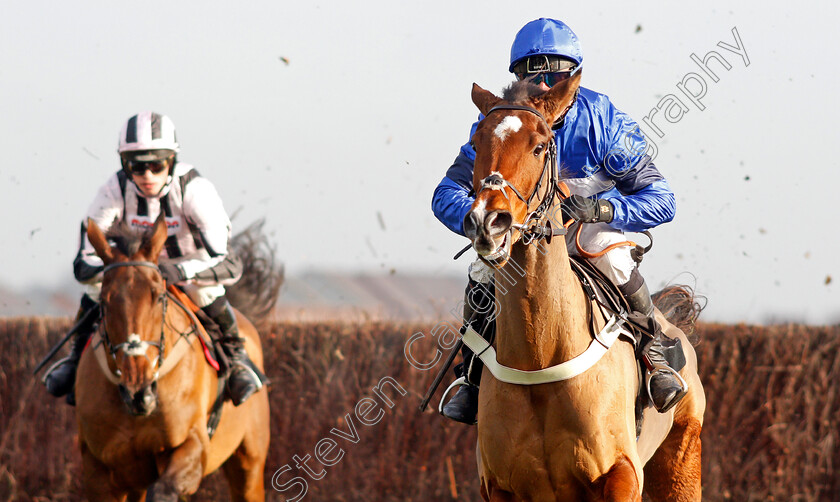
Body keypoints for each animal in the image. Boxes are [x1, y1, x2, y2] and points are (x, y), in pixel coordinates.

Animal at [76, 214, 270, 500]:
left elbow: (164, 489)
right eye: (104, 301)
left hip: (250, 462)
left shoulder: (192, 444)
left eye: (158, 296)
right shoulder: (98, 469)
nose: (138, 392)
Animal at [462, 72, 704, 500]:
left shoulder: (623, 473)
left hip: (681, 463)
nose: (489, 223)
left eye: (540, 146)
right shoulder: (498, 486)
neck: (542, 354)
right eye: (476, 143)